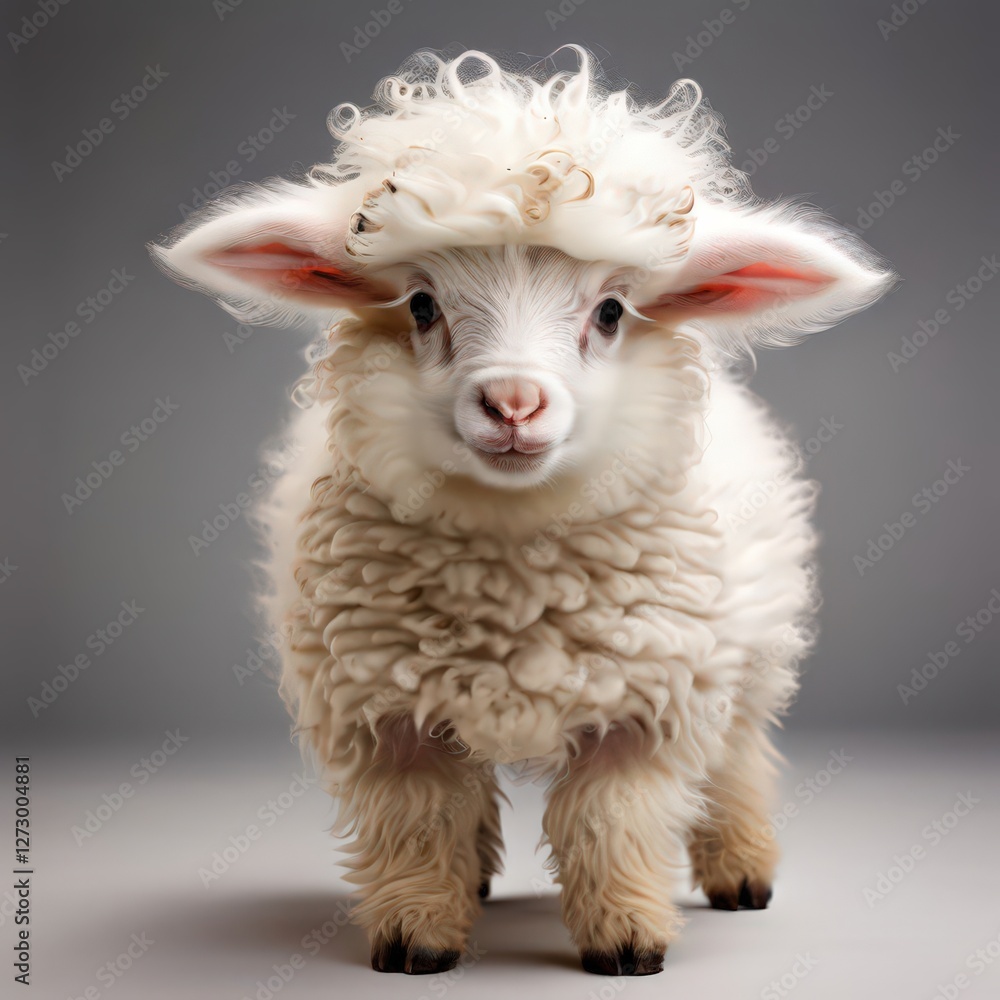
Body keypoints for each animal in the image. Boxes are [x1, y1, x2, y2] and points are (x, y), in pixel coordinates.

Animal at [150, 46, 894, 977]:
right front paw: (416, 934)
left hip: (746, 658)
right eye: (422, 305)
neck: (511, 587)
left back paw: (742, 869)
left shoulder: (646, 705)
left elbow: (613, 820)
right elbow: (418, 821)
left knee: (737, 760)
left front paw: (628, 937)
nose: (512, 403)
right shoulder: (385, 712)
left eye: (610, 311)